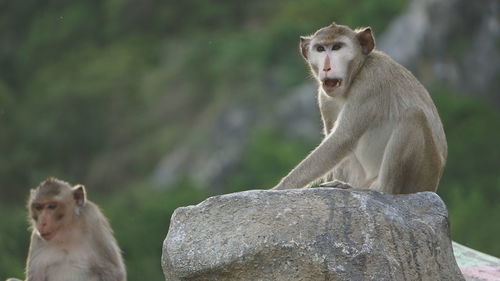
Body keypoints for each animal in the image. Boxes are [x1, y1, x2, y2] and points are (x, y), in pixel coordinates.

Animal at [272, 21, 448, 194]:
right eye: (320, 49)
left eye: (337, 47)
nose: (327, 67)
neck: (357, 71)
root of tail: (433, 185)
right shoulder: (324, 97)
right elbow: (335, 141)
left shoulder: (371, 82)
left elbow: (343, 138)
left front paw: (281, 187)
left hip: (423, 175)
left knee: (414, 115)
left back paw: (382, 189)